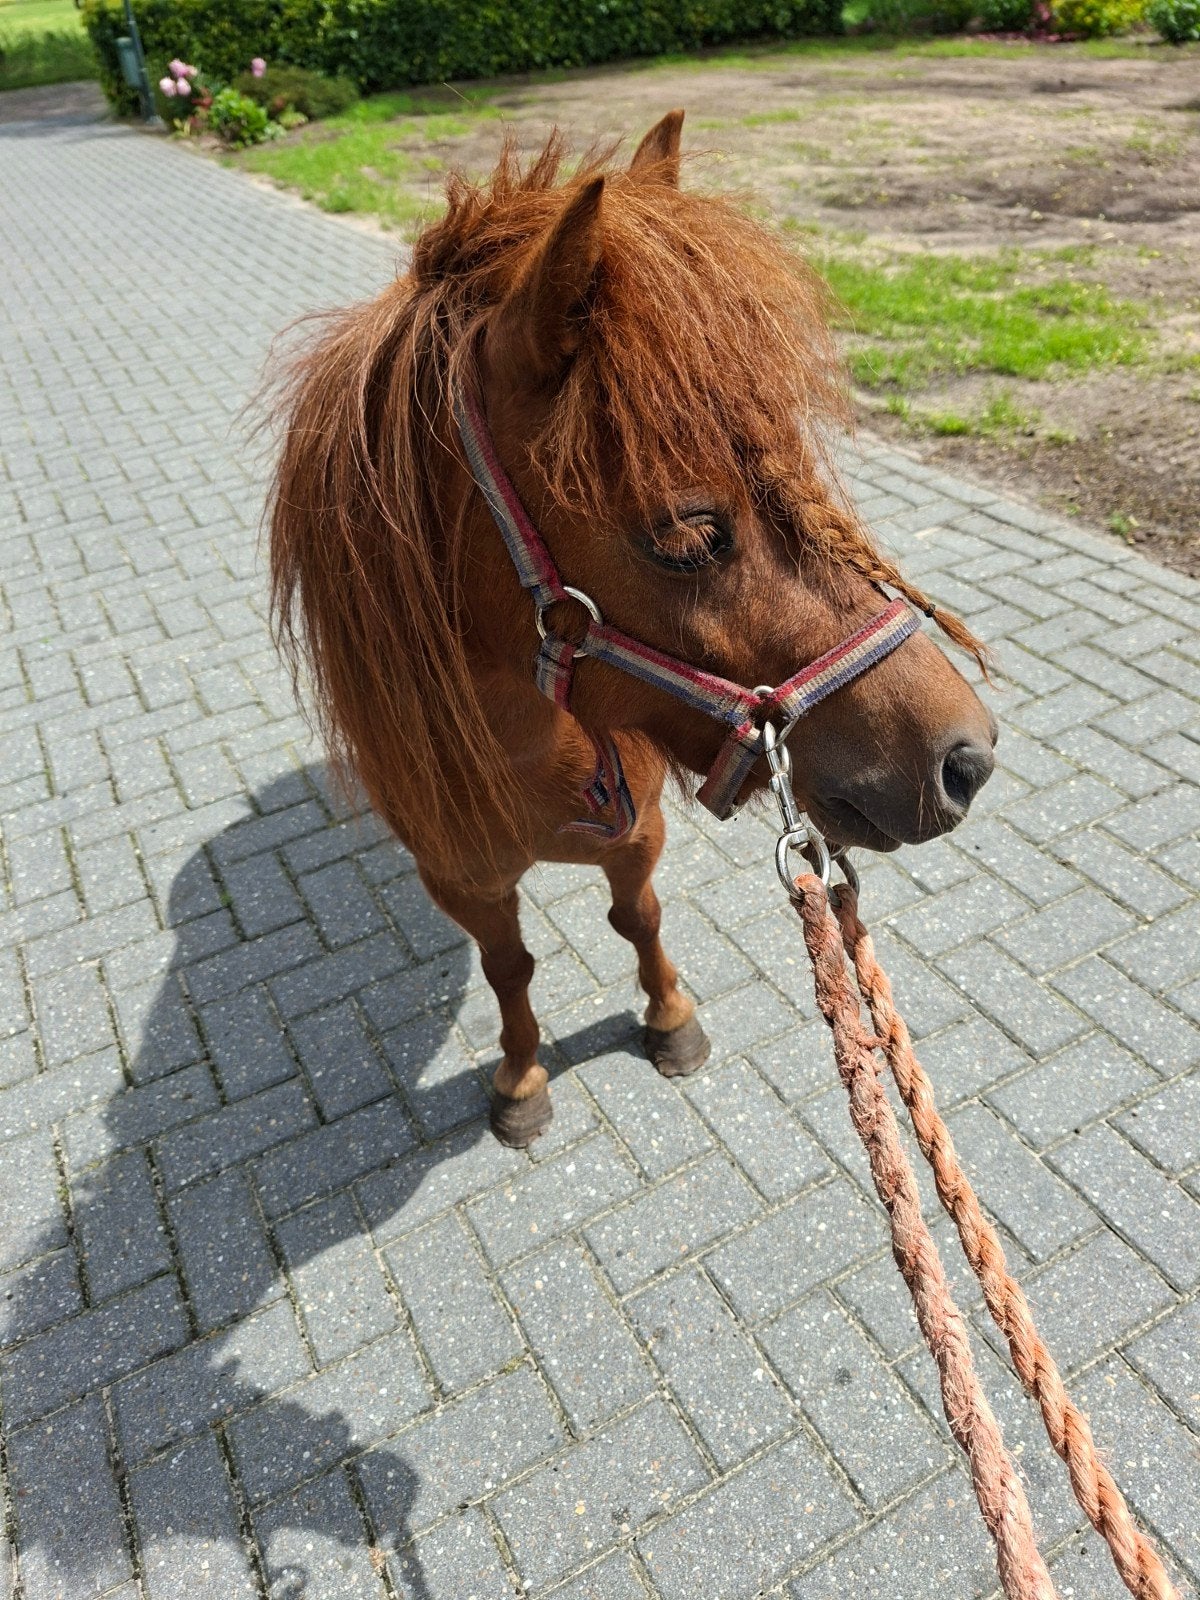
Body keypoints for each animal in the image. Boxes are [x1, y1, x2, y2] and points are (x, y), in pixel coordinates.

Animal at [270, 110, 997, 1149]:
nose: (965, 758)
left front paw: (670, 1019)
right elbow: (509, 968)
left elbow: (641, 921)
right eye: (687, 535)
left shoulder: (640, 833)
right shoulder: (463, 882)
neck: (535, 754)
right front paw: (521, 1077)